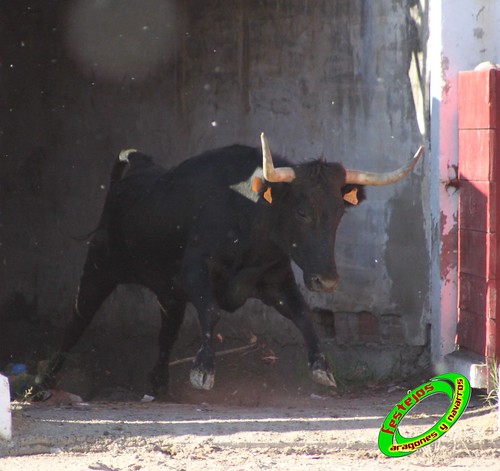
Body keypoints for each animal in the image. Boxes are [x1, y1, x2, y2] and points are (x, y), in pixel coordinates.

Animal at [40, 135, 422, 392]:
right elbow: (211, 312)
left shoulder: (275, 279)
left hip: (168, 294)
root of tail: (131, 174)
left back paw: (158, 384)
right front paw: (203, 370)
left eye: (341, 212)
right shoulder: (195, 271)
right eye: (302, 212)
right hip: (98, 268)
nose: (326, 281)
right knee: (77, 320)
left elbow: (303, 314)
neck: (251, 216)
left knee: (166, 333)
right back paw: (45, 382)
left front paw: (321, 367)